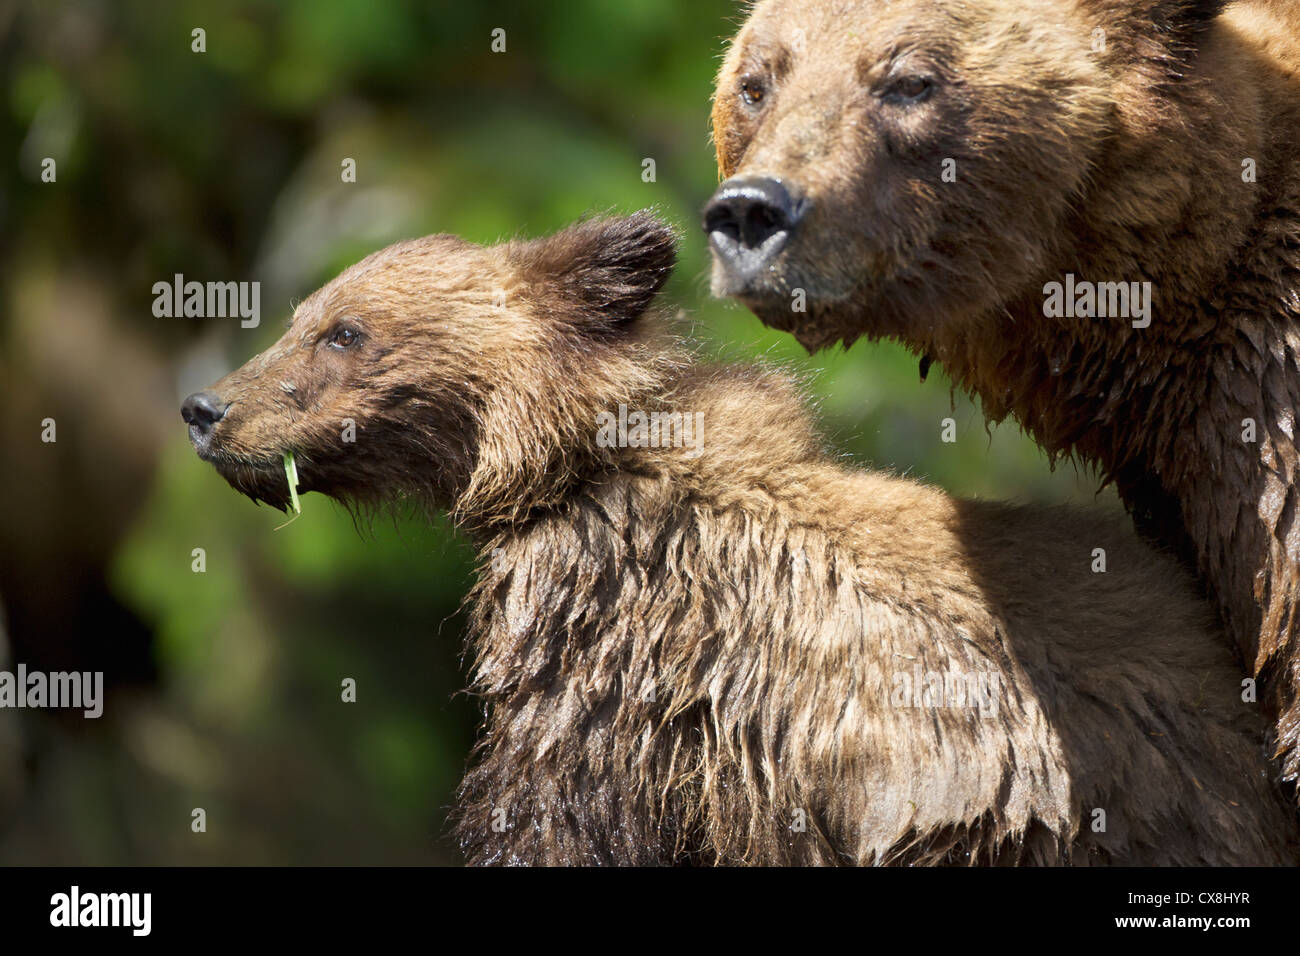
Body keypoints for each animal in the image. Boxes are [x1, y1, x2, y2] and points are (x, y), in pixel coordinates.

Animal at [188, 210, 1294, 868]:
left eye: (344, 330)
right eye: (304, 315)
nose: (207, 407)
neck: (568, 467)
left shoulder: (614, 677)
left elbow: (547, 814)